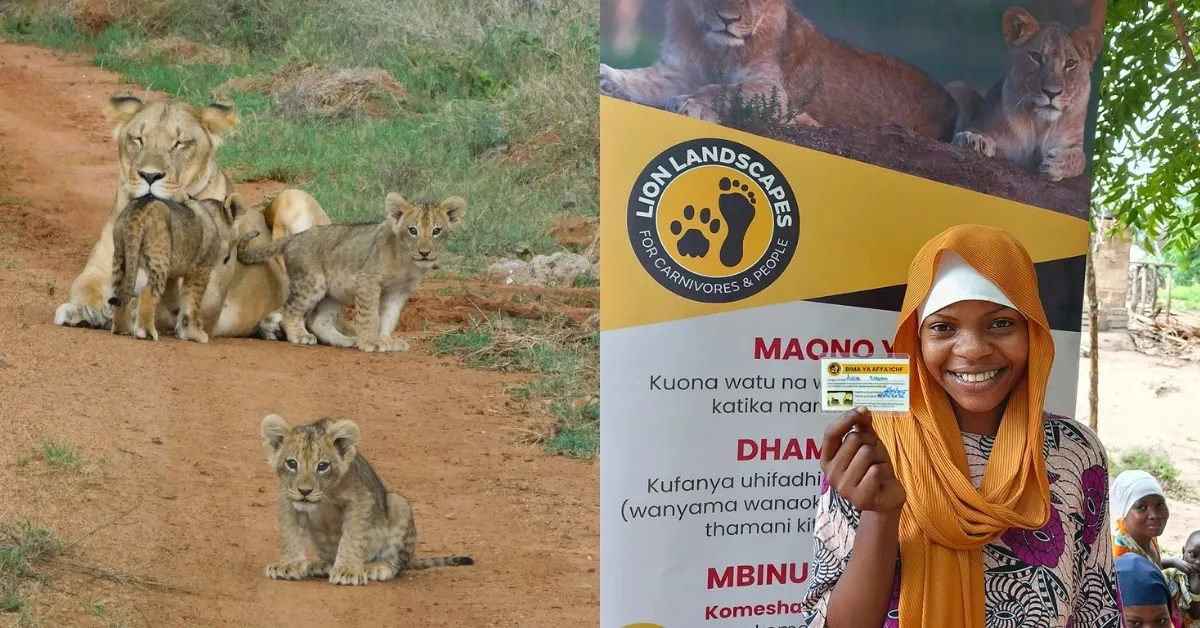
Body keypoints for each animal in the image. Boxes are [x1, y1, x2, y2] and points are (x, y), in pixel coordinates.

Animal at [109, 193, 242, 343]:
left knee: (120, 290)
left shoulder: (173, 273)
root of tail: (139, 207)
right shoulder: (200, 269)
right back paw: (146, 332)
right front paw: (193, 333)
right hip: (159, 260)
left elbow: (176, 297)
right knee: (147, 291)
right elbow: (191, 303)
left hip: (121, 256)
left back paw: (122, 329)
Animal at [237, 193, 467, 353]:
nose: (424, 253)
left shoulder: (399, 291)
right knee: (290, 309)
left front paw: (386, 340)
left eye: (436, 231)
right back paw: (299, 336)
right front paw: (370, 343)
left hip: (333, 293)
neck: (407, 262)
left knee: (320, 322)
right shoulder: (367, 281)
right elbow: (370, 315)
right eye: (413, 230)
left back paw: (348, 341)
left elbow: (389, 317)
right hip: (312, 284)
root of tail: (296, 237)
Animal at [259, 413, 475, 586]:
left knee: (396, 564)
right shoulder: (288, 498)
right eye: (292, 463)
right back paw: (324, 565)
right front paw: (288, 565)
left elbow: (352, 537)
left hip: (398, 503)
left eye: (322, 466)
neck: (325, 495)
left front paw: (347, 571)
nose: (305, 491)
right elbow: (289, 534)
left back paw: (376, 567)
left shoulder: (361, 498)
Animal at [598, 0, 969, 140]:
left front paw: (691, 103)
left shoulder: (771, 92)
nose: (727, 19)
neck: (714, 47)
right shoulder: (677, 70)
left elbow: (723, 90)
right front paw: (608, 78)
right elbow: (643, 79)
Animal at [951, 7, 1102, 182]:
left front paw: (1058, 163)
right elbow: (974, 131)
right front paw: (973, 139)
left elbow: (1079, 159)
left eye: (1070, 63)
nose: (1051, 93)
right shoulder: (982, 124)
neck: (1041, 124)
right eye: (1036, 56)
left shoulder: (1074, 143)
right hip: (958, 85)